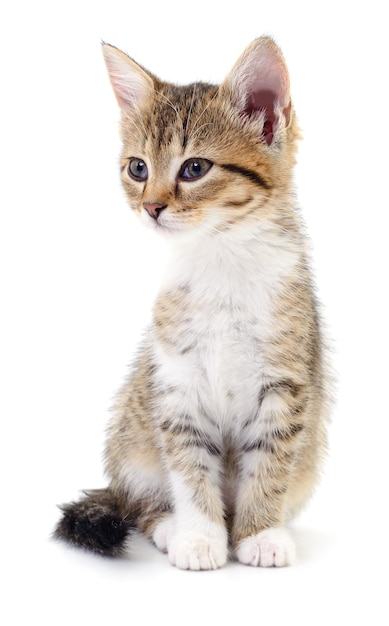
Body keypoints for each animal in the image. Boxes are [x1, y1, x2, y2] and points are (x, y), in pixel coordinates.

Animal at [53, 36, 328, 568]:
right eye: (138, 168)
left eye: (195, 168)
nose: (151, 207)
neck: (220, 257)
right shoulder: (177, 385)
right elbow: (188, 464)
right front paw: (200, 535)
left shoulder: (286, 381)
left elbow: (270, 462)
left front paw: (260, 532)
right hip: (131, 437)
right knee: (136, 500)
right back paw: (167, 525)